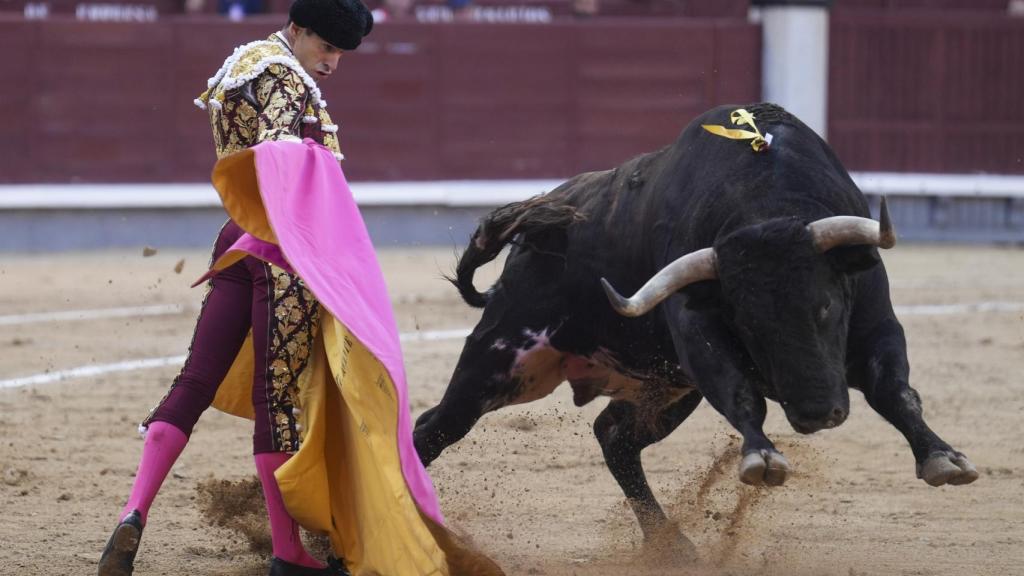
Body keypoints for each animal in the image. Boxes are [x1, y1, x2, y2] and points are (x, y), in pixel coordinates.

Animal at [409, 103, 974, 545]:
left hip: (664, 388)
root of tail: (530, 244)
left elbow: (895, 391)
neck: (763, 202)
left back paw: (672, 546)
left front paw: (943, 457)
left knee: (614, 439)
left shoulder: (877, 324)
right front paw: (761, 458)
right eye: (746, 324)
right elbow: (743, 397)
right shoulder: (698, 337)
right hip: (500, 358)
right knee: (433, 429)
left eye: (827, 307)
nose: (819, 414)